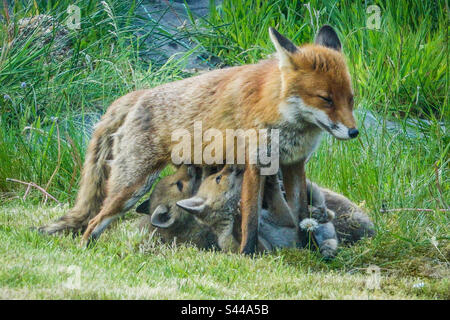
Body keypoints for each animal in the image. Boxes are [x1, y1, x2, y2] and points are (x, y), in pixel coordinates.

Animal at [40, 25, 356, 255]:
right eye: (326, 99)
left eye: (350, 99)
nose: (354, 132)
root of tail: (139, 93)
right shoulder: (255, 164)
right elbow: (250, 219)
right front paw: (248, 255)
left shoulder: (294, 164)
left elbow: (300, 212)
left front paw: (307, 250)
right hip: (131, 188)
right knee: (93, 222)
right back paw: (84, 252)